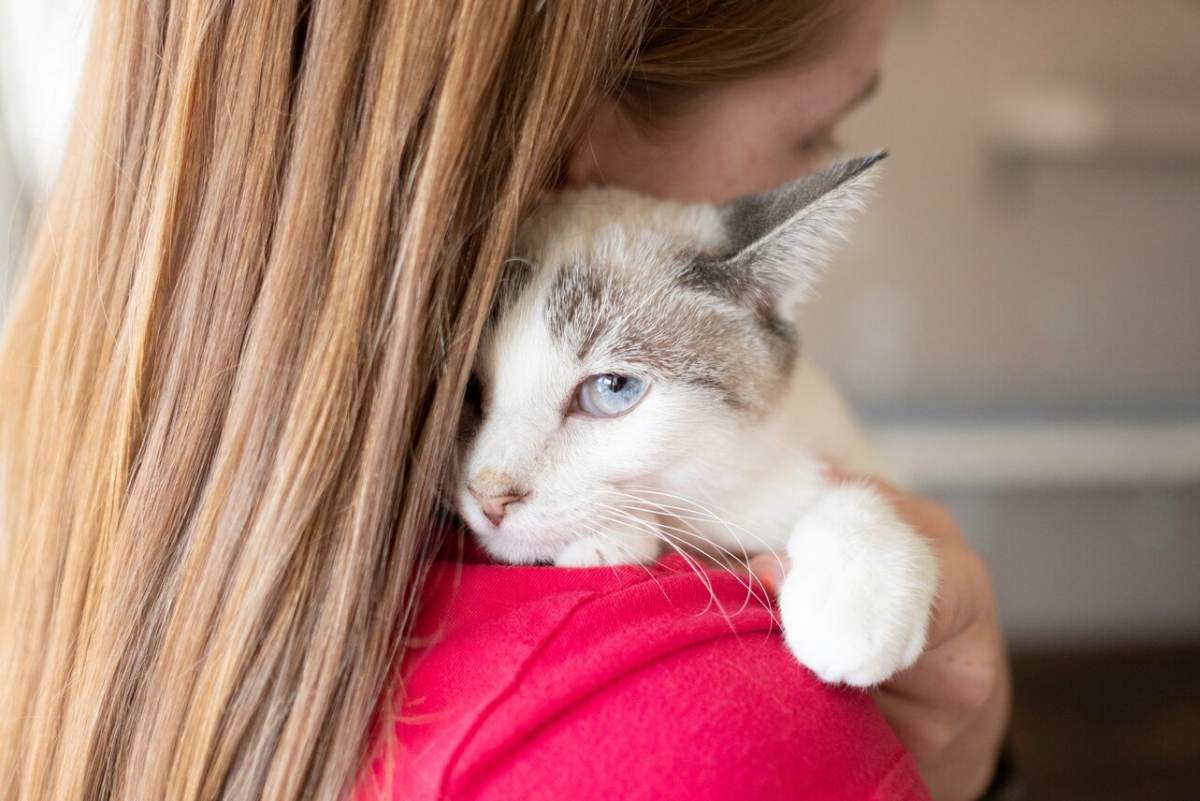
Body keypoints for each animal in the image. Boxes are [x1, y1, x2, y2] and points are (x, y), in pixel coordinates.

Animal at [456, 154, 936, 690]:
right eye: (468, 389)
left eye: (612, 389)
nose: (489, 496)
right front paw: (610, 540)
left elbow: (843, 492)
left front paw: (853, 608)